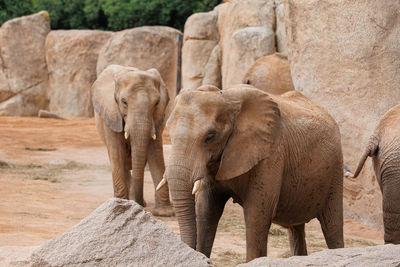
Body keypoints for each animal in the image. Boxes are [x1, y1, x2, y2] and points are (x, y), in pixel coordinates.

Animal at [94, 65, 175, 218]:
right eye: (124, 102)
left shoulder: (157, 119)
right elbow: (116, 152)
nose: (141, 205)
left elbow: (155, 154)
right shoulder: (111, 113)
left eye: (156, 103)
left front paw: (165, 213)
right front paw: (119, 205)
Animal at [158, 84, 346, 262]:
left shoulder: (270, 156)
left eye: (210, 137)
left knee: (332, 226)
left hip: (336, 168)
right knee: (296, 229)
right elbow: (206, 211)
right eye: (169, 132)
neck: (225, 96)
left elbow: (257, 215)